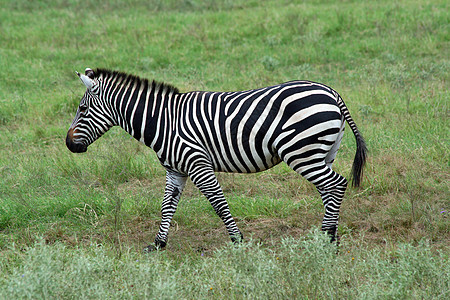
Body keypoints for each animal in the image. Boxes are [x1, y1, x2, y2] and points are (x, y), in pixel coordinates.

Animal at [67, 68, 370, 251]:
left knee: (335, 185)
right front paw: (158, 244)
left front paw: (237, 240)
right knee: (328, 189)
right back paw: (328, 235)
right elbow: (167, 207)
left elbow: (218, 203)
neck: (163, 121)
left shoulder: (197, 162)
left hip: (302, 153)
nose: (69, 144)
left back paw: (327, 238)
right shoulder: (175, 170)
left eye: (82, 109)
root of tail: (331, 92)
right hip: (323, 152)